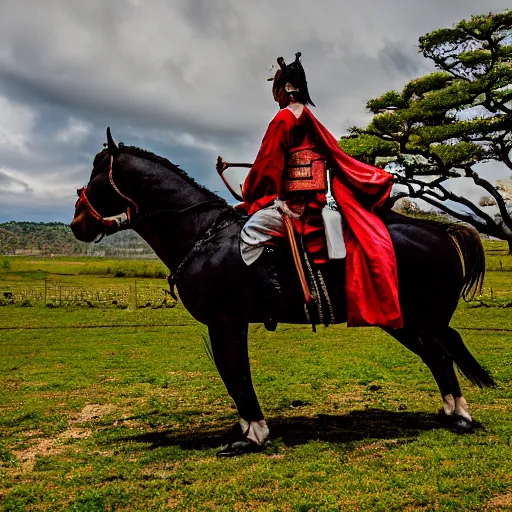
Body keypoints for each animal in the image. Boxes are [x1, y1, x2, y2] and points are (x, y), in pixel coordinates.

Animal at [70, 131, 494, 456]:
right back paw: (453, 413)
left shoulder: (226, 323)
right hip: (407, 321)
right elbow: (234, 375)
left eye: (95, 177)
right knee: (439, 356)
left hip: (413, 320)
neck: (202, 233)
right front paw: (248, 430)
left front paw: (253, 436)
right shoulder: (228, 325)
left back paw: (460, 418)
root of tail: (441, 230)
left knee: (441, 356)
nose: (77, 224)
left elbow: (236, 375)